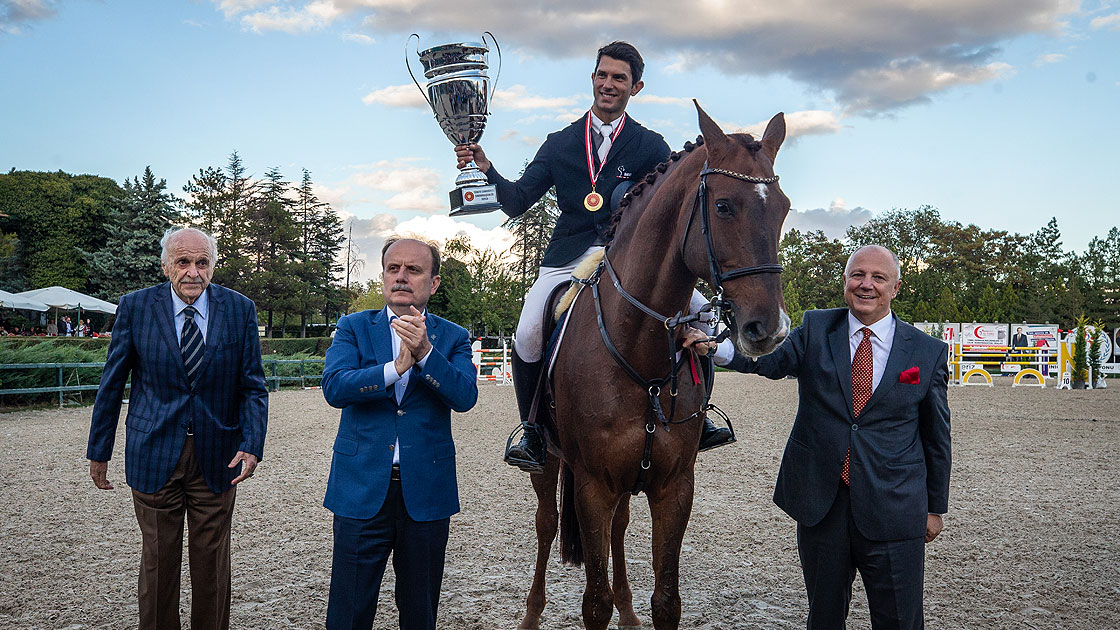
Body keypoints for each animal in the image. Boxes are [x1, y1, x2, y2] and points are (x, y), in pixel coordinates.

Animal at [517, 100, 792, 623]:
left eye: (783, 208)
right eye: (723, 206)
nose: (767, 328)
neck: (639, 352)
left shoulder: (674, 488)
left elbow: (666, 600)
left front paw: (637, 607)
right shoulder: (593, 486)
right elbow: (594, 603)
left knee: (619, 528)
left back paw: (628, 611)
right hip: (549, 462)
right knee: (546, 523)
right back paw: (532, 613)